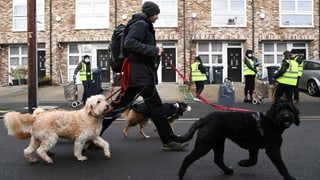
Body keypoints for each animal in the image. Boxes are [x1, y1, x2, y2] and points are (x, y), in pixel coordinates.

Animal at [172, 102, 300, 179]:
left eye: (290, 110)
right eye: (279, 110)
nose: (287, 117)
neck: (270, 122)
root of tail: (205, 119)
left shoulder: (253, 147)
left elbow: (253, 160)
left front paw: (243, 163)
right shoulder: (273, 150)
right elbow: (281, 165)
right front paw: (289, 177)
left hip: (218, 143)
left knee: (218, 159)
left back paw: (228, 170)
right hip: (205, 144)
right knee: (188, 158)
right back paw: (180, 175)